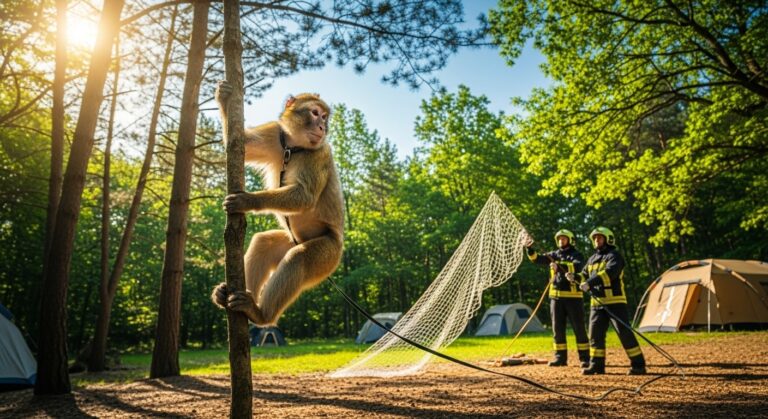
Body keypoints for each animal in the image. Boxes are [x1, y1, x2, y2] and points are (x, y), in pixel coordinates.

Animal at [211, 80, 344, 327]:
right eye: (315, 113)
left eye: (324, 117)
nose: (322, 127)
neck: (293, 147)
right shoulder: (275, 133)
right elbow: (241, 143)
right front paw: (224, 98)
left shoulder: (319, 153)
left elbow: (304, 196)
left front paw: (248, 199)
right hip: (291, 240)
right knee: (264, 243)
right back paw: (232, 297)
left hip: (328, 253)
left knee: (298, 258)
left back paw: (260, 314)